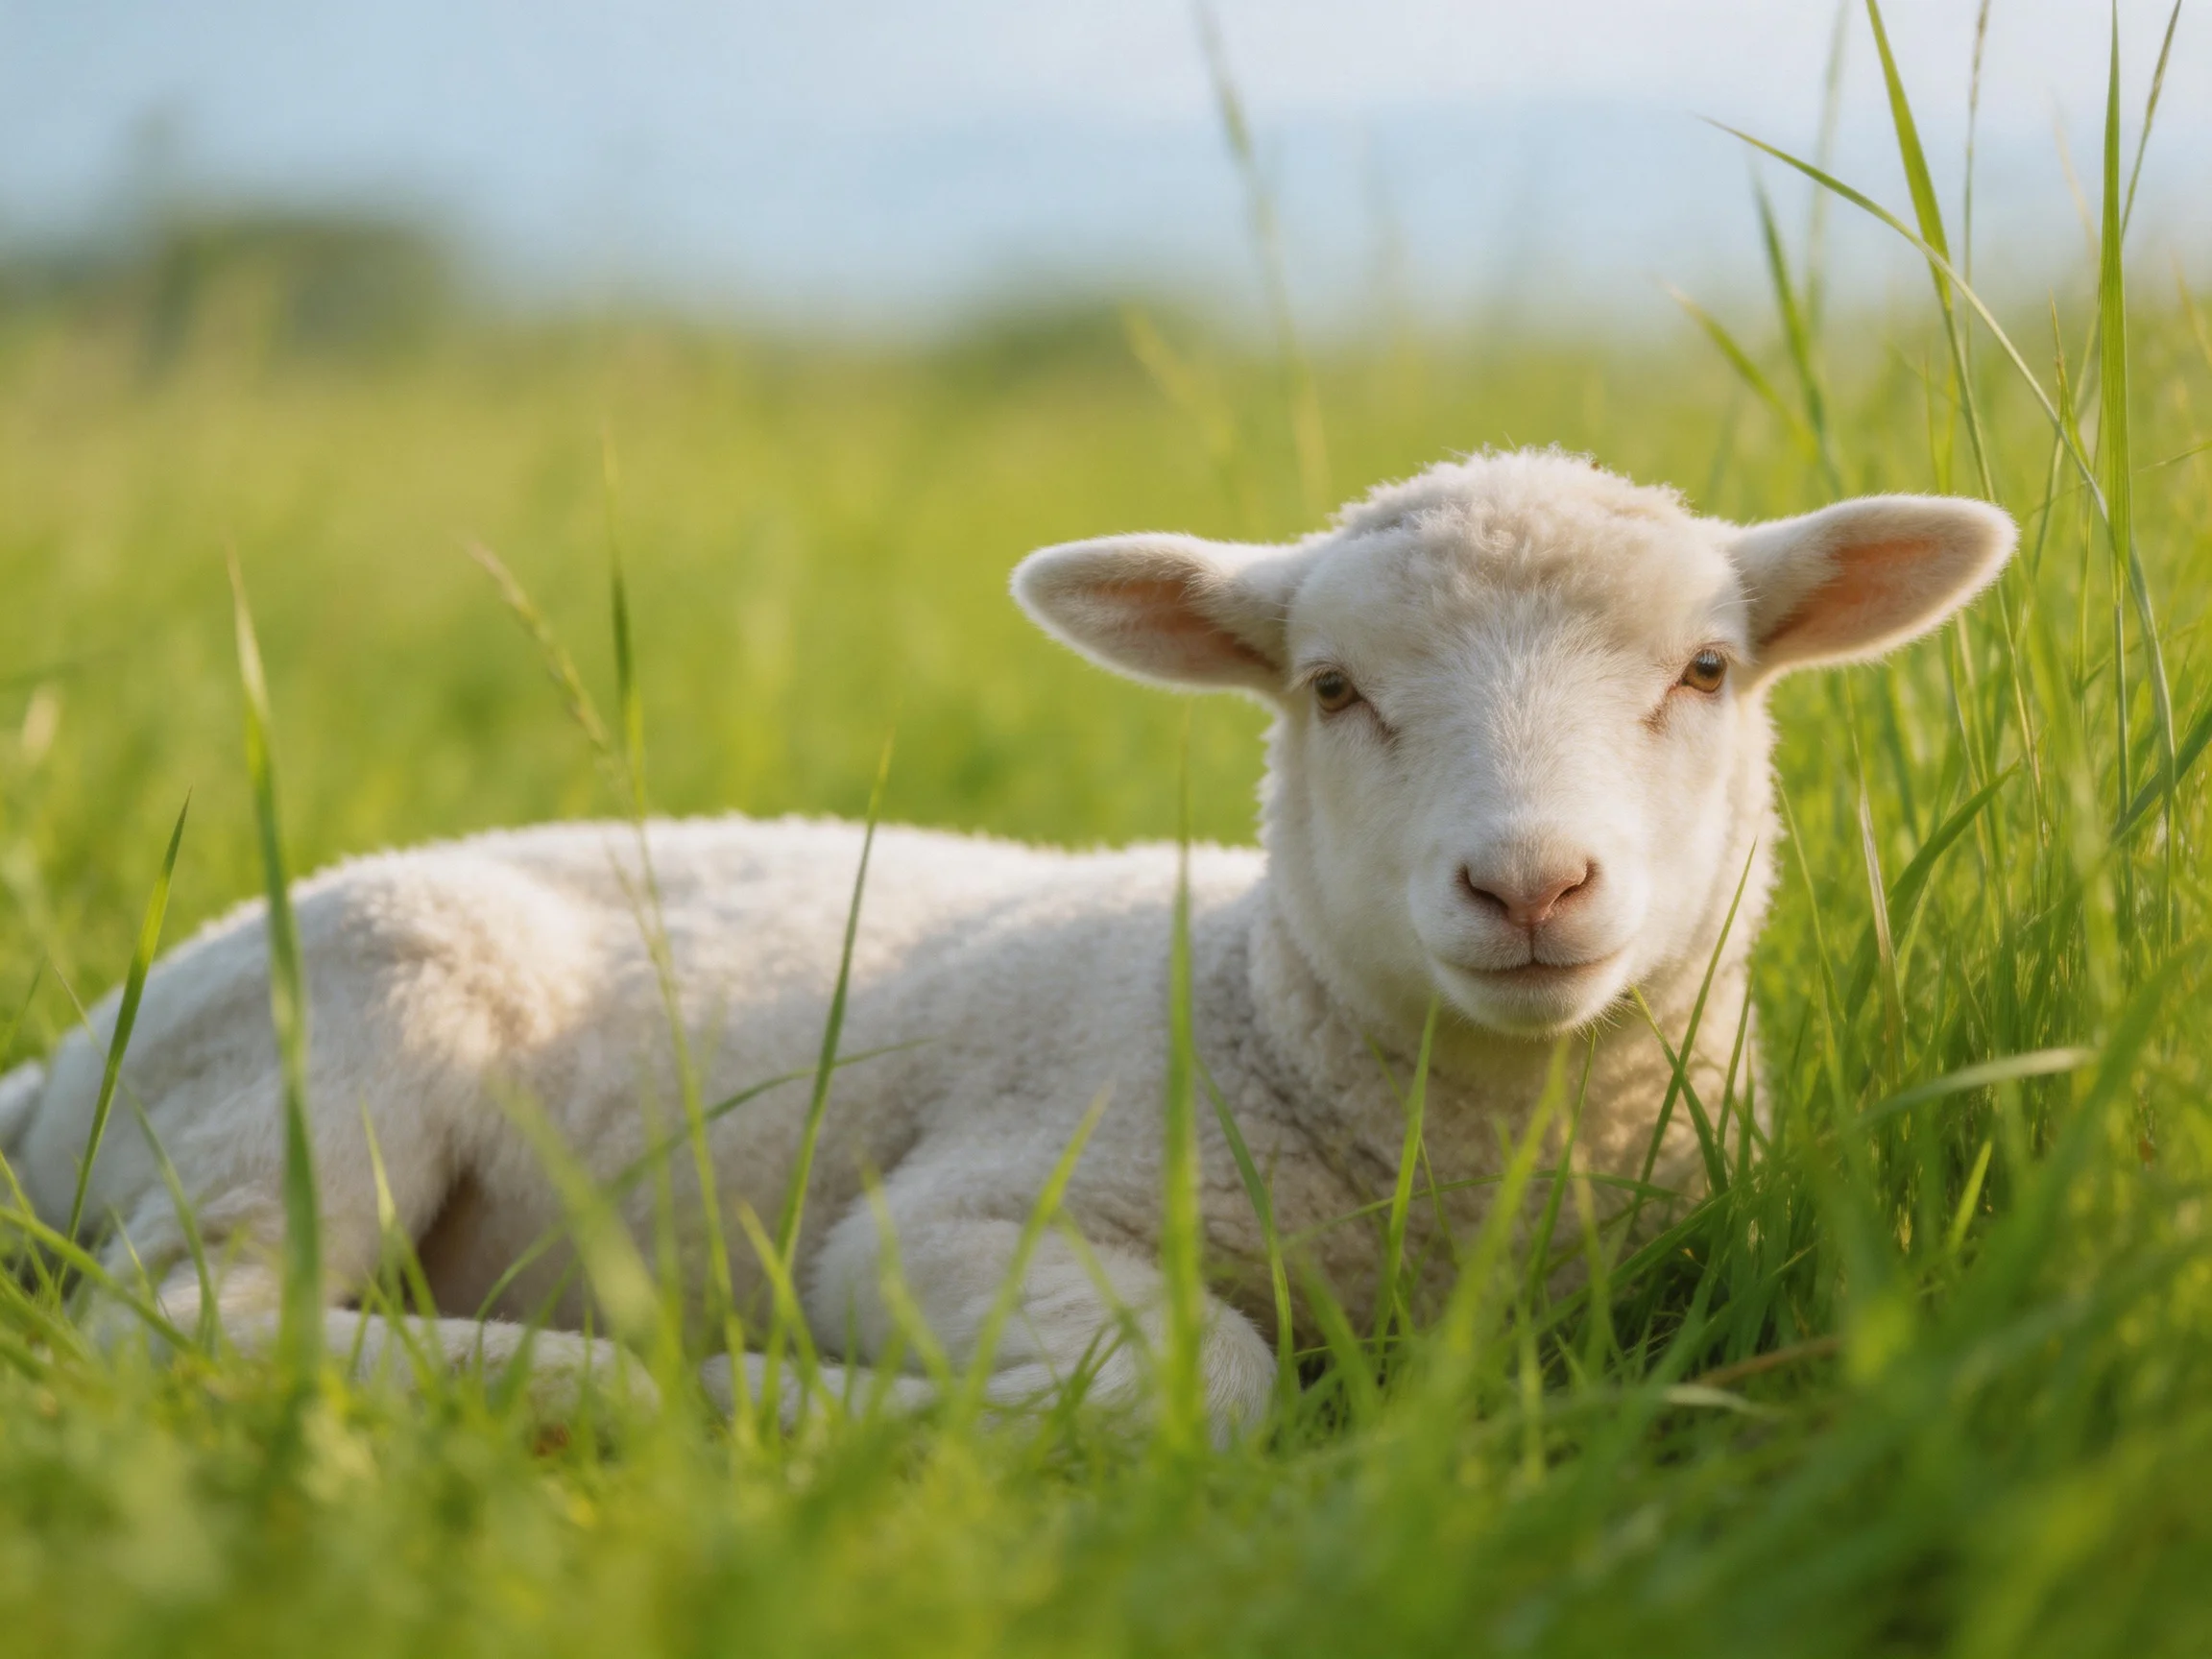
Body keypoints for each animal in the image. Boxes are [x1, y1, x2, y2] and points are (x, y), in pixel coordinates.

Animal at [0, 449, 2014, 1430]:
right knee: (187, 1318)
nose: (1527, 885)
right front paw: (823, 1396)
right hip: (334, 1039)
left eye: (1704, 670)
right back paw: (628, 1383)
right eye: (1331, 687)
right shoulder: (963, 1212)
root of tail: (69, 1060)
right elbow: (1208, 1384)